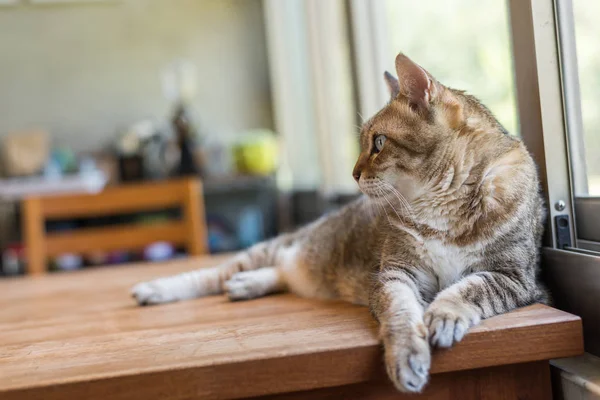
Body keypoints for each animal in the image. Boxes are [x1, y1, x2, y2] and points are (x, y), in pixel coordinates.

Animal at [132, 53, 548, 394]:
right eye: (366, 142)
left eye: (378, 142)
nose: (352, 173)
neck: (440, 204)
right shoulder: (396, 274)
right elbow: (401, 314)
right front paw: (407, 357)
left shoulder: (513, 277)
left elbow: (465, 290)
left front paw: (443, 317)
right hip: (271, 248)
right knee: (213, 274)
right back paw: (158, 289)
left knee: (278, 273)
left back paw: (248, 284)